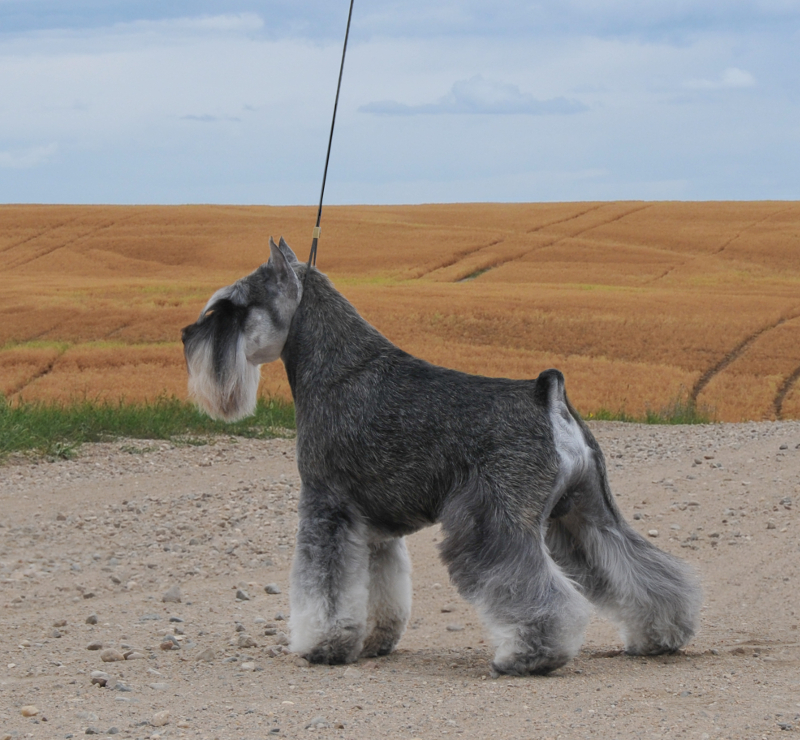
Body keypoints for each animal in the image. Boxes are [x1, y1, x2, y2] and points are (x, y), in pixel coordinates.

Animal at [181, 238, 700, 676]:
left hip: (497, 522)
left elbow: (324, 589)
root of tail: (547, 395)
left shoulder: (326, 508)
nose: (186, 335)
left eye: (233, 306)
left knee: (536, 588)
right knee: (638, 567)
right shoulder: (373, 528)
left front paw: (322, 646)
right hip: (584, 516)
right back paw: (661, 634)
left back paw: (530, 655)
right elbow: (380, 589)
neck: (334, 367)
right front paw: (375, 641)